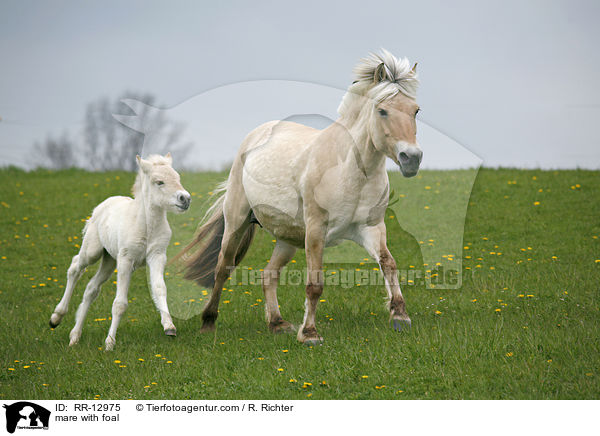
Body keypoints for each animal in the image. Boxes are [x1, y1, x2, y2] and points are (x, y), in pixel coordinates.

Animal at [49, 153, 190, 350]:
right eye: (159, 182)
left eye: (178, 178)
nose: (185, 199)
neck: (146, 226)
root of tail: (103, 205)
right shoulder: (126, 259)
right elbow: (120, 303)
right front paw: (109, 343)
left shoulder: (157, 256)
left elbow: (160, 288)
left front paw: (169, 326)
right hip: (93, 251)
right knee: (75, 267)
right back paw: (56, 317)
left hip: (109, 261)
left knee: (91, 288)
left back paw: (75, 336)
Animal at [183, 50, 422, 344]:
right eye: (382, 110)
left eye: (415, 110)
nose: (411, 158)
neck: (351, 171)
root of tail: (254, 137)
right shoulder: (316, 231)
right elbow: (314, 284)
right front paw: (309, 334)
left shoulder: (371, 228)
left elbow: (389, 264)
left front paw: (400, 316)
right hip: (236, 223)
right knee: (222, 268)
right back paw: (208, 322)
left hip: (288, 239)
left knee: (268, 275)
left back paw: (277, 323)